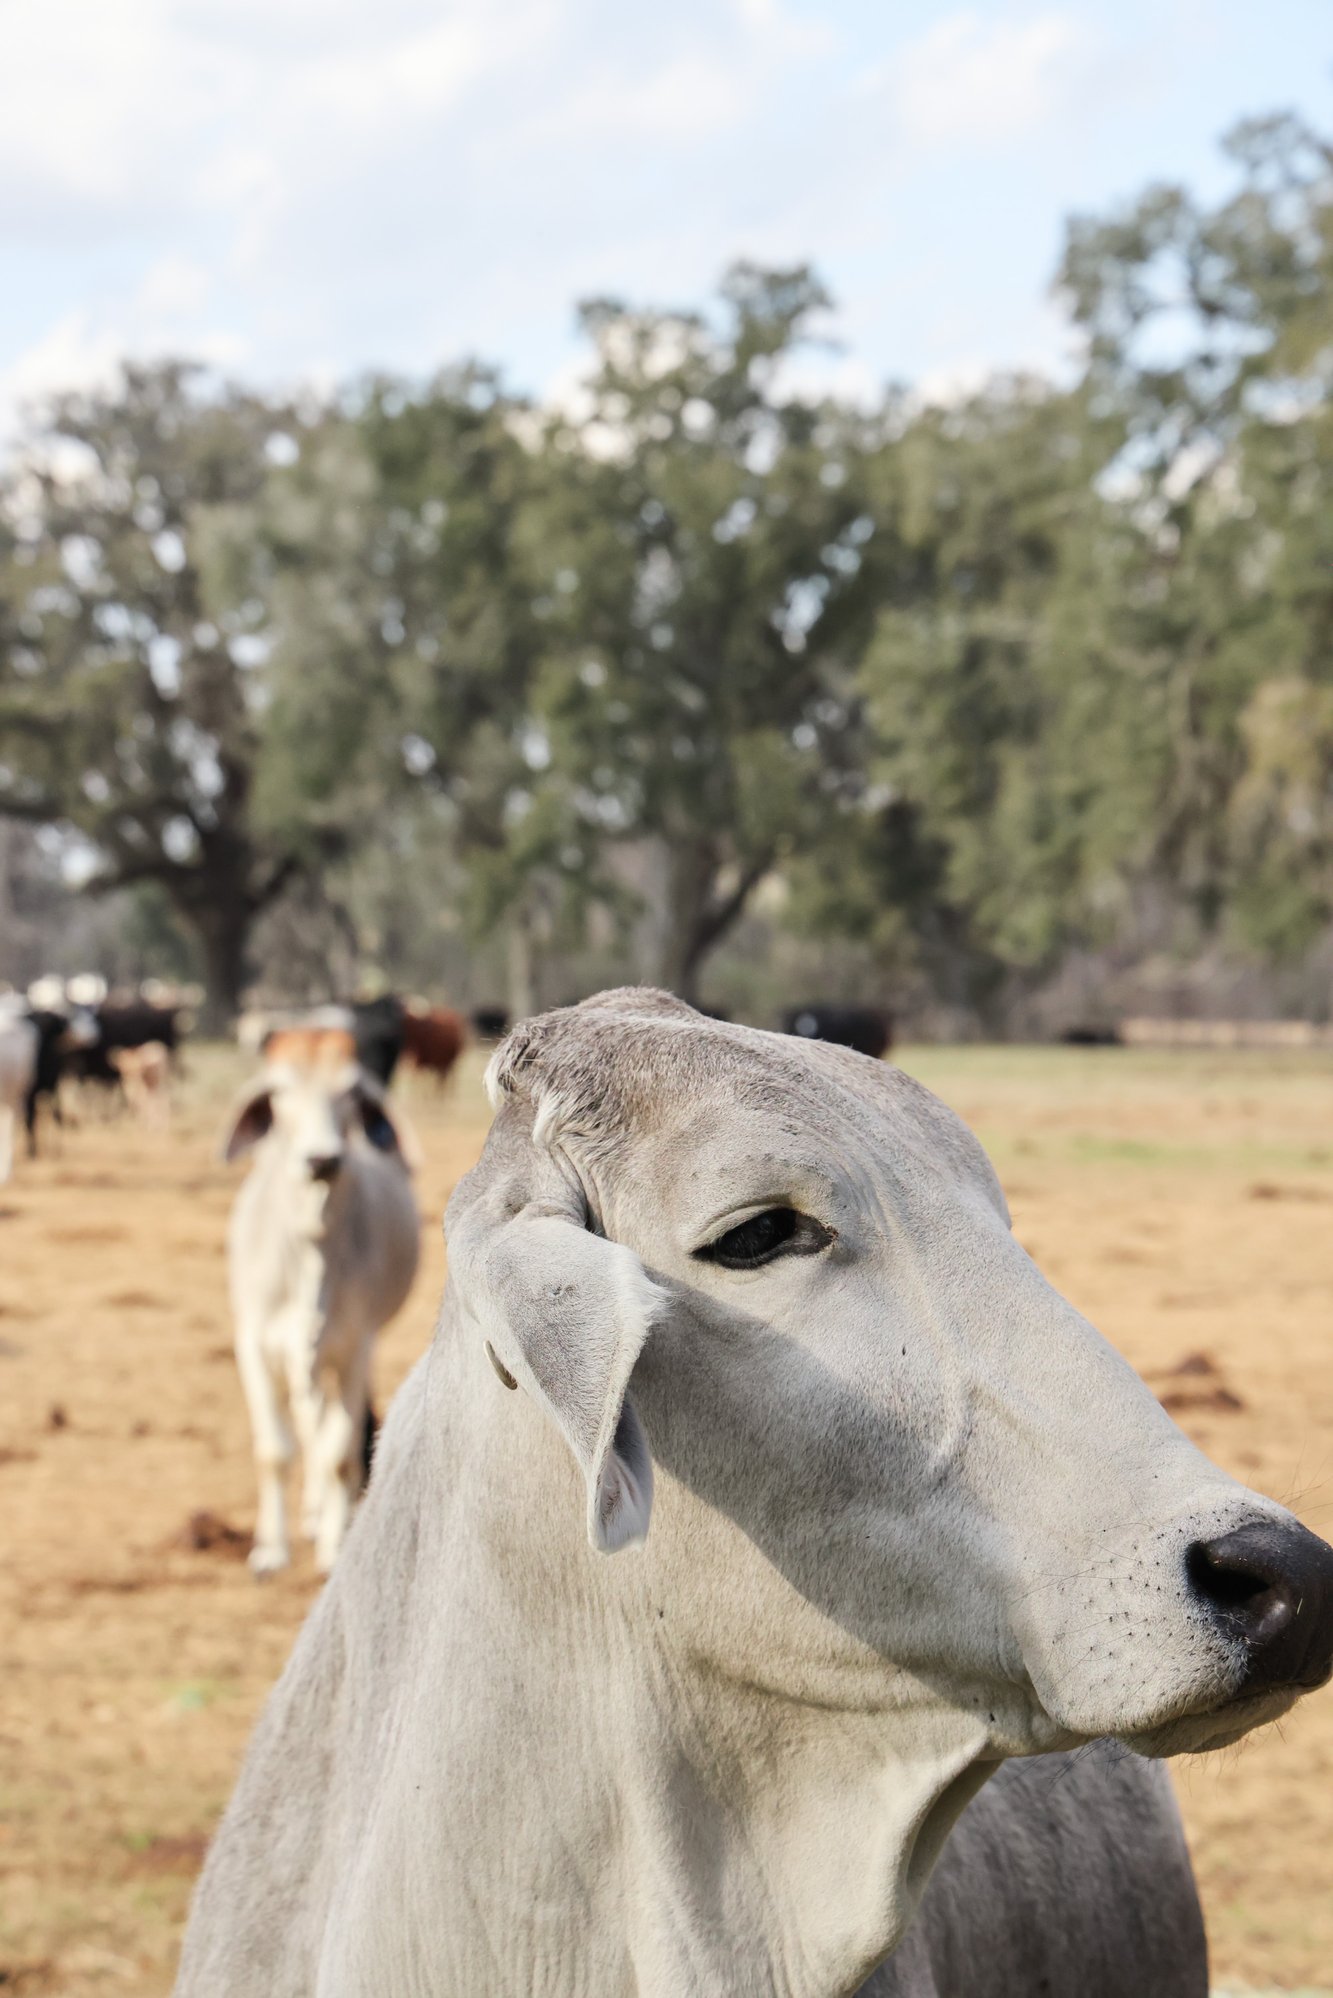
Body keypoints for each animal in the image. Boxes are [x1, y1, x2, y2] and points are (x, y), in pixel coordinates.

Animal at [220, 1057, 421, 1577]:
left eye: (350, 1096)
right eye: (280, 1095)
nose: (322, 1160)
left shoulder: (353, 1348)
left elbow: (338, 1453)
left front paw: (335, 1545)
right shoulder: (253, 1345)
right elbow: (275, 1451)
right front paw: (271, 1549)